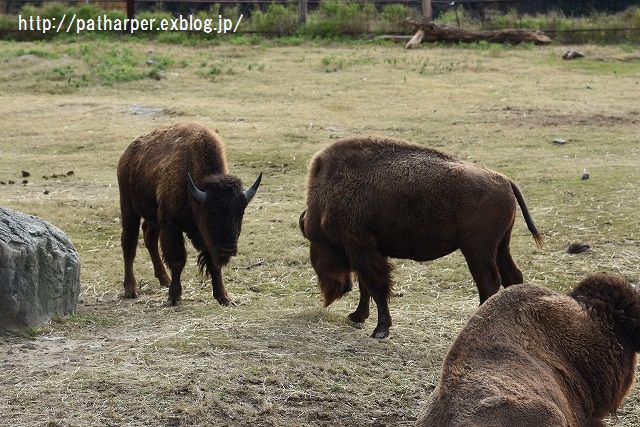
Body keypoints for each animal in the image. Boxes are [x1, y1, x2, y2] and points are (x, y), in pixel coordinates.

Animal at [117, 122, 260, 306]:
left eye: (240, 213)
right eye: (210, 213)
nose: (228, 249)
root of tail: (127, 154)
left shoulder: (206, 239)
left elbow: (214, 264)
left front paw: (224, 298)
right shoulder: (172, 227)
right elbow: (178, 260)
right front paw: (174, 297)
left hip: (154, 218)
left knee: (149, 238)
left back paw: (165, 279)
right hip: (129, 208)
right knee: (129, 244)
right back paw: (131, 289)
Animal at [300, 135, 544, 340]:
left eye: (316, 246)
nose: (331, 294)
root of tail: (505, 180)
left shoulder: (362, 248)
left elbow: (376, 286)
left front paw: (380, 330)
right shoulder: (366, 252)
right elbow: (366, 286)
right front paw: (357, 317)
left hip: (477, 250)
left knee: (488, 282)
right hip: (501, 246)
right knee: (512, 276)